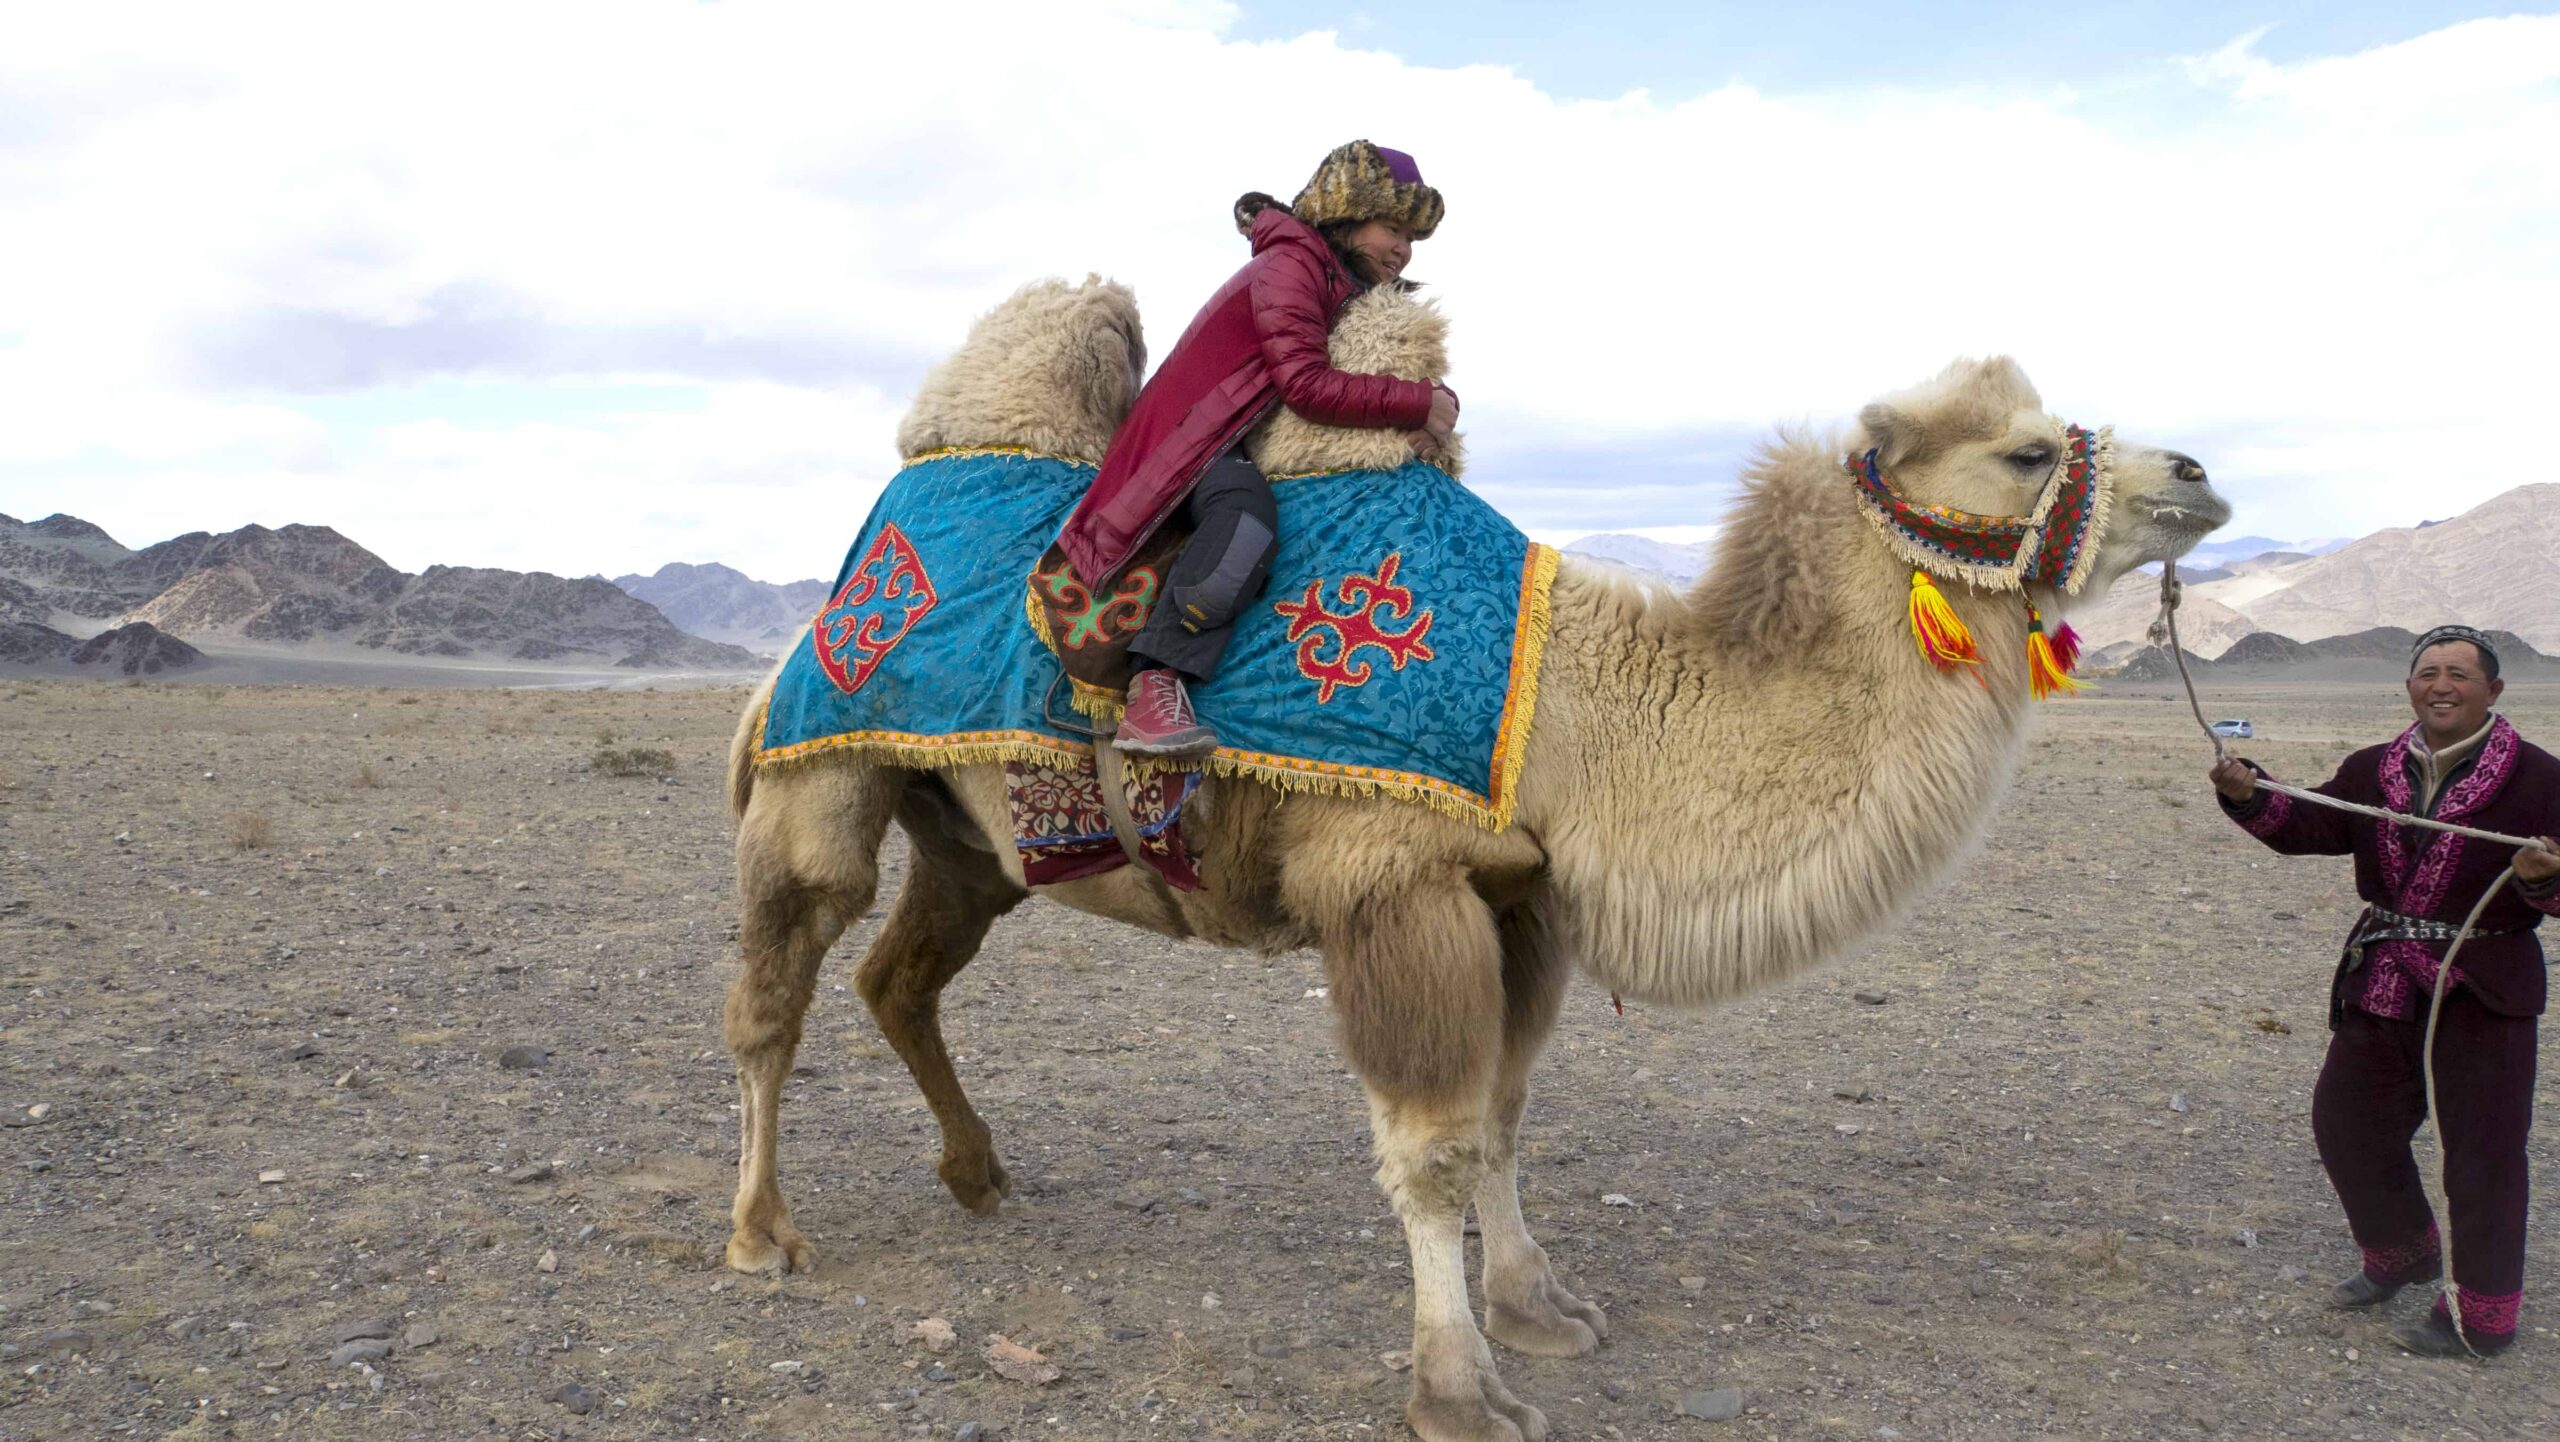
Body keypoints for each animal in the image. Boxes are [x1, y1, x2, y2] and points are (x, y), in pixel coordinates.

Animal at [716, 276, 2231, 1442]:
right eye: (2025, 451)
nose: (2201, 474)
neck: (1575, 718)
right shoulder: (1395, 884)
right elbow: (1434, 1145)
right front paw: (1458, 1387)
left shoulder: (1520, 896)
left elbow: (1503, 1116)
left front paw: (1540, 1308)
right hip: (825, 767)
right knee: (778, 994)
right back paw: (761, 1231)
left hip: (969, 834)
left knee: (904, 975)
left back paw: (978, 1174)